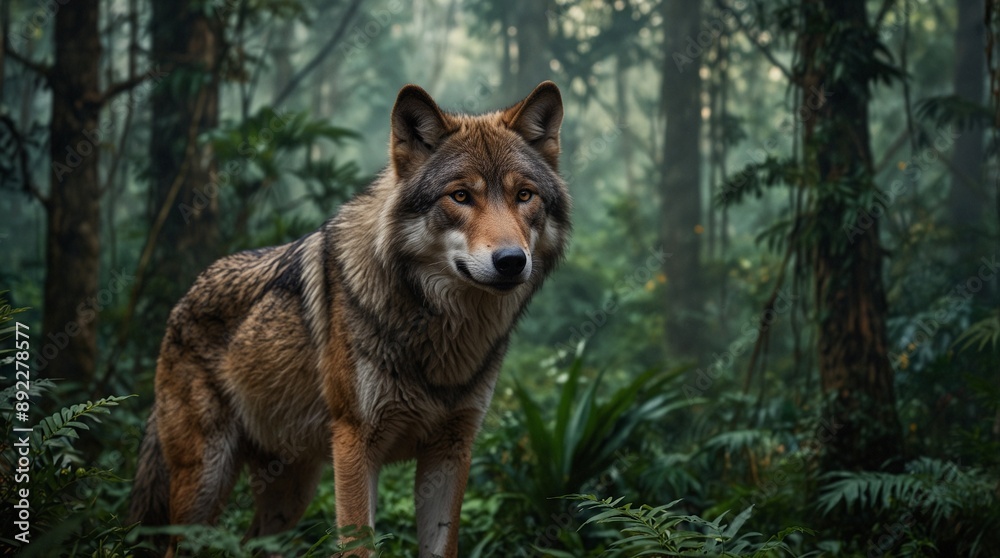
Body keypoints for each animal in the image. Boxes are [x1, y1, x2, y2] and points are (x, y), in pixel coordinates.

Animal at [129, 81, 570, 557]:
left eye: (524, 195)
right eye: (460, 196)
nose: (511, 261)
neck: (441, 332)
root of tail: (183, 298)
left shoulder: (451, 449)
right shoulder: (356, 444)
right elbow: (359, 545)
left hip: (290, 493)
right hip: (206, 483)